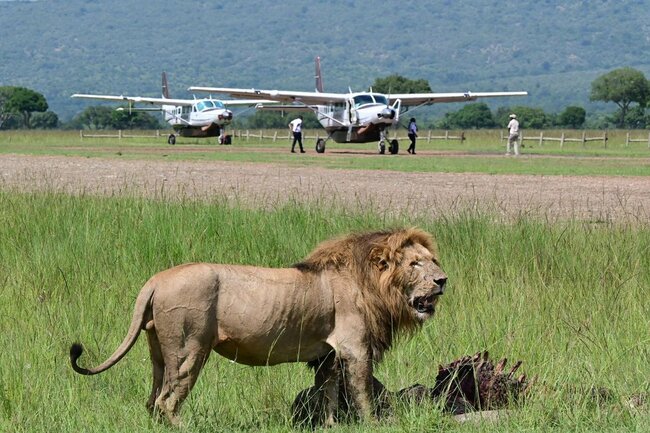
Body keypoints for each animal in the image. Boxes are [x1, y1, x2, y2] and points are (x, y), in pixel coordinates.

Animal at [71, 228, 446, 424]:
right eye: (415, 264)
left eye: (433, 260)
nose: (443, 280)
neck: (375, 285)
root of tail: (155, 280)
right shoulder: (354, 348)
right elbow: (362, 394)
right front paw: (372, 424)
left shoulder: (326, 356)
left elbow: (328, 395)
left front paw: (328, 426)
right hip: (190, 349)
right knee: (167, 401)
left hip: (160, 352)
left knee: (152, 400)